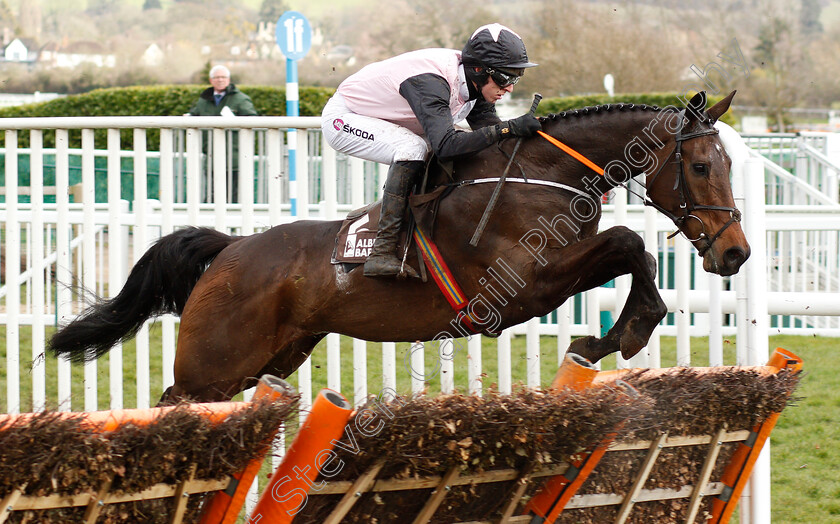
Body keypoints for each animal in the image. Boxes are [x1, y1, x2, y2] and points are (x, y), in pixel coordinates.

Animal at [50, 90, 748, 404]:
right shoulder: (522, 285)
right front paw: (625, 332)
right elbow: (630, 242)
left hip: (270, 357)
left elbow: (633, 252)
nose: (735, 254)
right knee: (174, 405)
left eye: (727, 164)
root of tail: (228, 251)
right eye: (701, 167)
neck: (540, 174)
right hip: (214, 364)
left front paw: (612, 335)